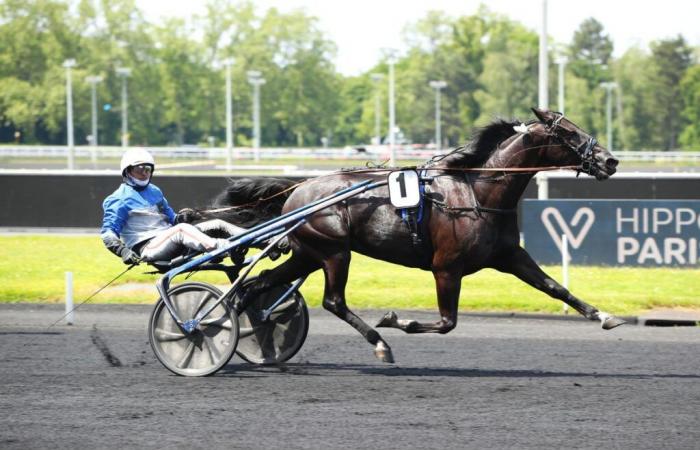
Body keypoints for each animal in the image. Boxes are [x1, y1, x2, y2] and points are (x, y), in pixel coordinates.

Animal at [185, 108, 624, 362]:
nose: (610, 160)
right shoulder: (446, 268)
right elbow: (446, 322)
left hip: (308, 253)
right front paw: (398, 319)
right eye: (569, 133)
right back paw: (380, 342)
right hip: (334, 252)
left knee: (253, 287)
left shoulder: (509, 256)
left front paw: (606, 316)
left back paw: (238, 333)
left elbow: (554, 287)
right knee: (332, 301)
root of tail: (298, 188)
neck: (477, 193)